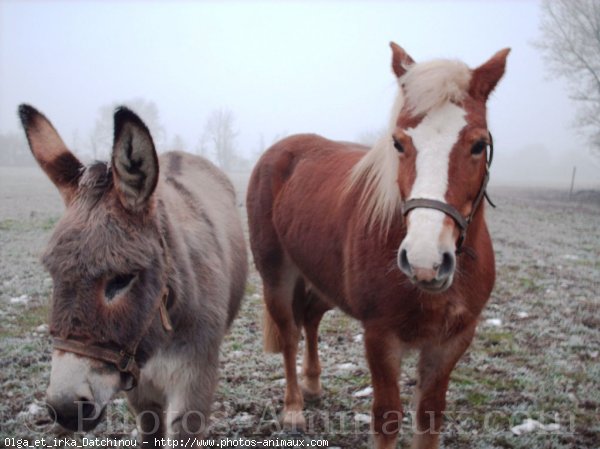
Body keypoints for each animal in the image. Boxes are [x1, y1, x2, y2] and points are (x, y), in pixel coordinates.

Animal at [246, 43, 508, 448]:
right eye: (398, 142)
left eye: (479, 145)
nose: (425, 261)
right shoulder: (380, 337)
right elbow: (386, 417)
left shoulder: (451, 341)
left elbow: (429, 416)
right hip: (276, 276)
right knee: (289, 334)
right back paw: (293, 409)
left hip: (325, 282)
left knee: (311, 318)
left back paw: (313, 384)